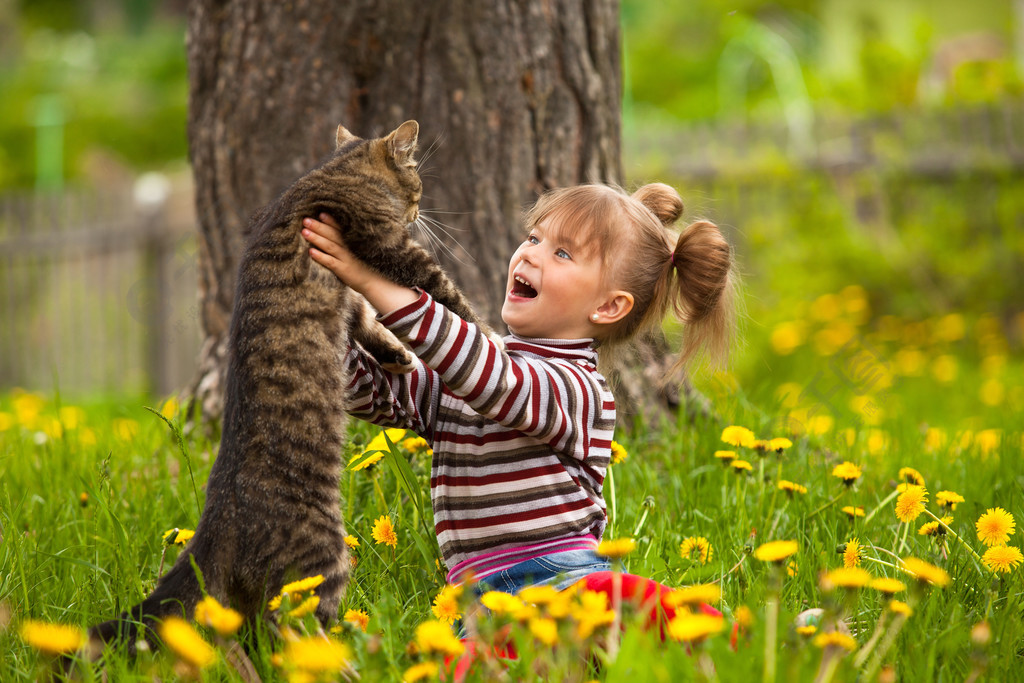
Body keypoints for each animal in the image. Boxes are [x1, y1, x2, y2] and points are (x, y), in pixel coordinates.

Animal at [90, 121, 485, 651]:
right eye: (418, 183)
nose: (420, 210)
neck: (336, 173)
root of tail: (215, 521)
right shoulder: (391, 246)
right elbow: (447, 296)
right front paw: (493, 336)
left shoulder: (352, 296)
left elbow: (368, 320)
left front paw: (398, 355)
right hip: (323, 558)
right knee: (294, 635)